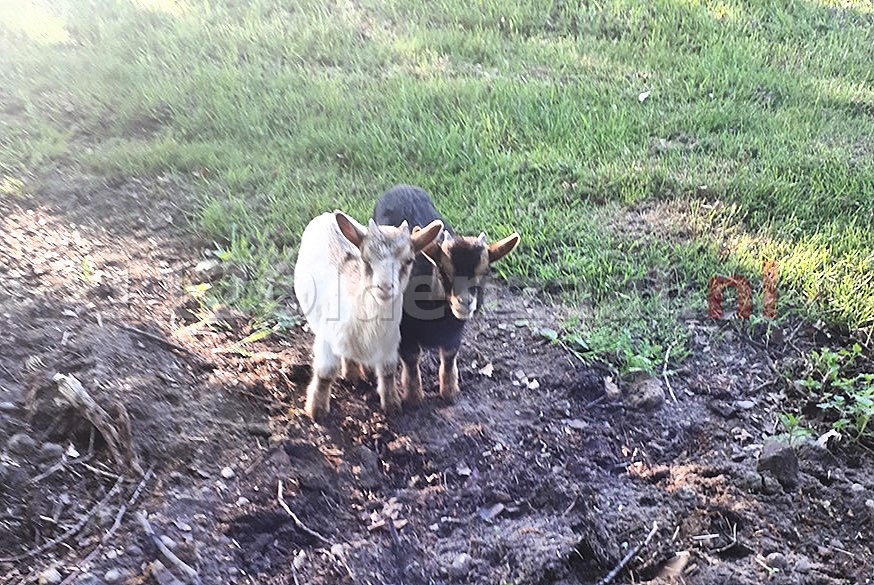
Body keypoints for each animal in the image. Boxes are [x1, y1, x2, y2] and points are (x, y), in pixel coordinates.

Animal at [292, 211, 442, 420]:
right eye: (365, 259)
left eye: (409, 260)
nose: (385, 287)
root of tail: (327, 215)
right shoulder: (326, 338)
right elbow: (325, 372)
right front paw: (317, 411)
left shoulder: (389, 344)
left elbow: (387, 372)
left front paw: (392, 405)